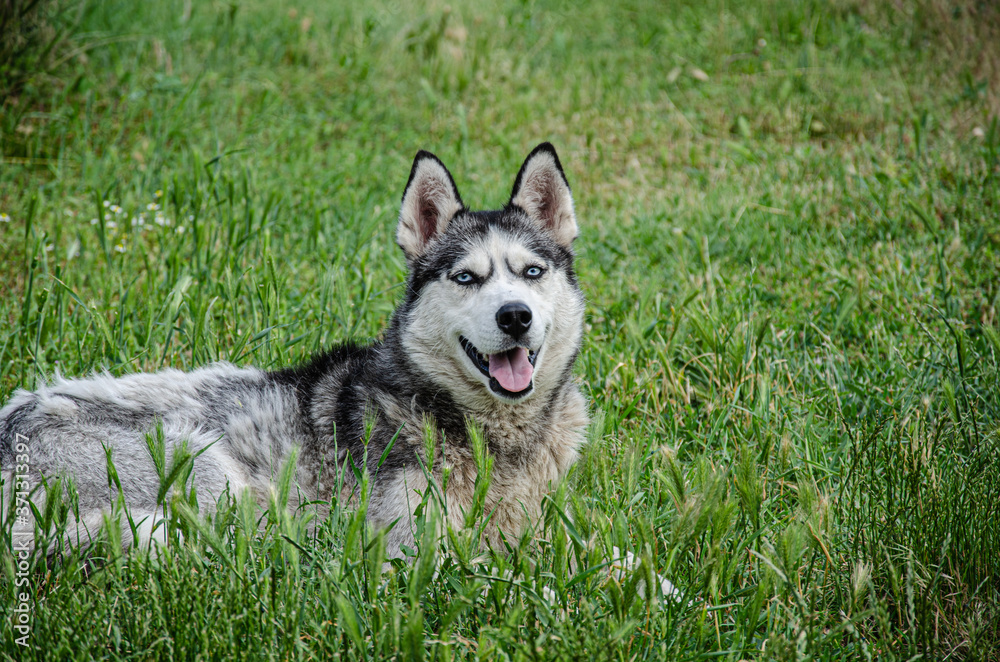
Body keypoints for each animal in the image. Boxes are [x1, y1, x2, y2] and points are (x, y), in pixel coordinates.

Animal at [0, 144, 584, 560]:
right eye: (466, 278)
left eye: (532, 271)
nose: (514, 315)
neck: (495, 439)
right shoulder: (412, 552)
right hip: (210, 474)